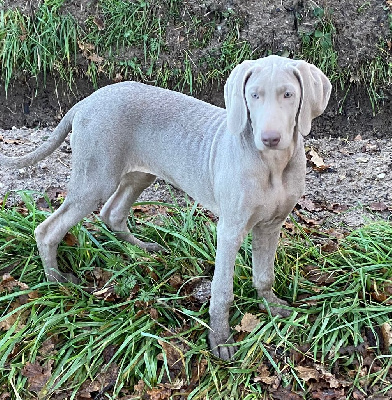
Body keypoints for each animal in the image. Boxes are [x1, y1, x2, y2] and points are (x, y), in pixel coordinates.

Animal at [0, 54, 330, 358]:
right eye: (254, 95)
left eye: (288, 94)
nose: (270, 138)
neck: (272, 165)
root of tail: (86, 101)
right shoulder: (231, 229)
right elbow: (222, 289)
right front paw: (220, 339)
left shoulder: (272, 225)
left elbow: (265, 274)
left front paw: (271, 307)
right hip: (96, 178)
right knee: (48, 229)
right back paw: (57, 282)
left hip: (139, 174)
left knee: (112, 214)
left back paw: (143, 250)